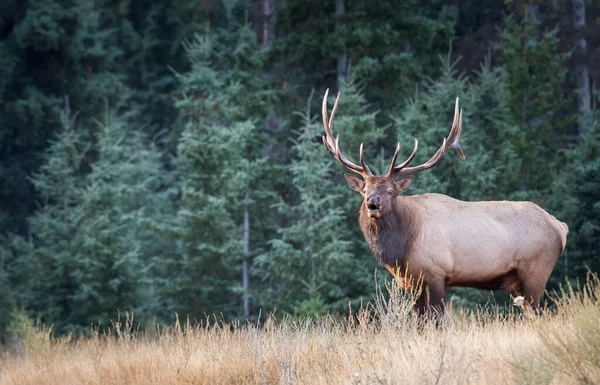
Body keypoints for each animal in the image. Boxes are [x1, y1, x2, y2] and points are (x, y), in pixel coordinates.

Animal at [322, 90, 564, 318]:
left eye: (390, 191)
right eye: (364, 190)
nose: (372, 203)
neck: (403, 245)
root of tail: (560, 228)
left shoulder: (437, 272)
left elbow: (436, 319)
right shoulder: (411, 282)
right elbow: (419, 320)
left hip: (536, 270)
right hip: (519, 281)